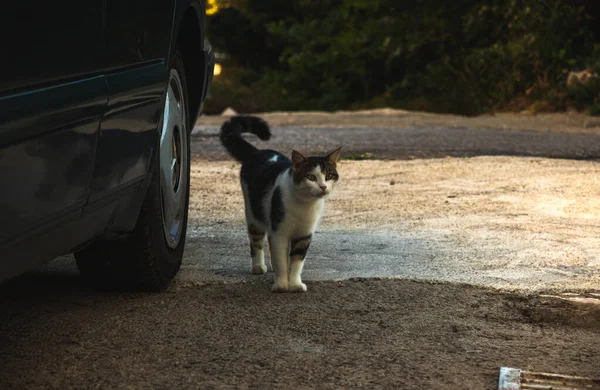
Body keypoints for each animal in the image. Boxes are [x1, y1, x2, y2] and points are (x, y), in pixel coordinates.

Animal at [220, 116, 342, 292]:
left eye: (329, 176)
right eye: (311, 177)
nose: (323, 187)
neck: (304, 204)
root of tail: (258, 152)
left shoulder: (304, 234)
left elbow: (297, 262)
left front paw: (295, 284)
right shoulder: (280, 232)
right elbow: (282, 261)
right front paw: (281, 285)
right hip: (254, 214)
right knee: (256, 241)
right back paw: (258, 266)